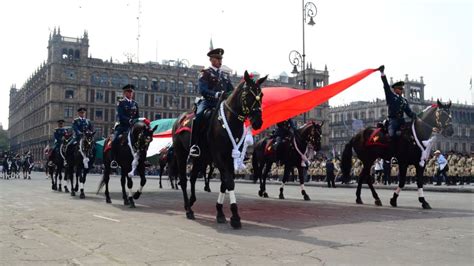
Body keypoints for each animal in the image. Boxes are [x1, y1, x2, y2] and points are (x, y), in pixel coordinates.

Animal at [172, 70, 266, 229]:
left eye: (262, 94)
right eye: (247, 94)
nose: (258, 121)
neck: (228, 121)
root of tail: (179, 119)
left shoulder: (229, 157)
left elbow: (225, 182)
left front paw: (220, 212)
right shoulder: (218, 156)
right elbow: (228, 181)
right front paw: (235, 216)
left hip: (201, 158)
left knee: (192, 177)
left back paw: (191, 201)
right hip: (181, 154)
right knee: (183, 180)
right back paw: (188, 209)